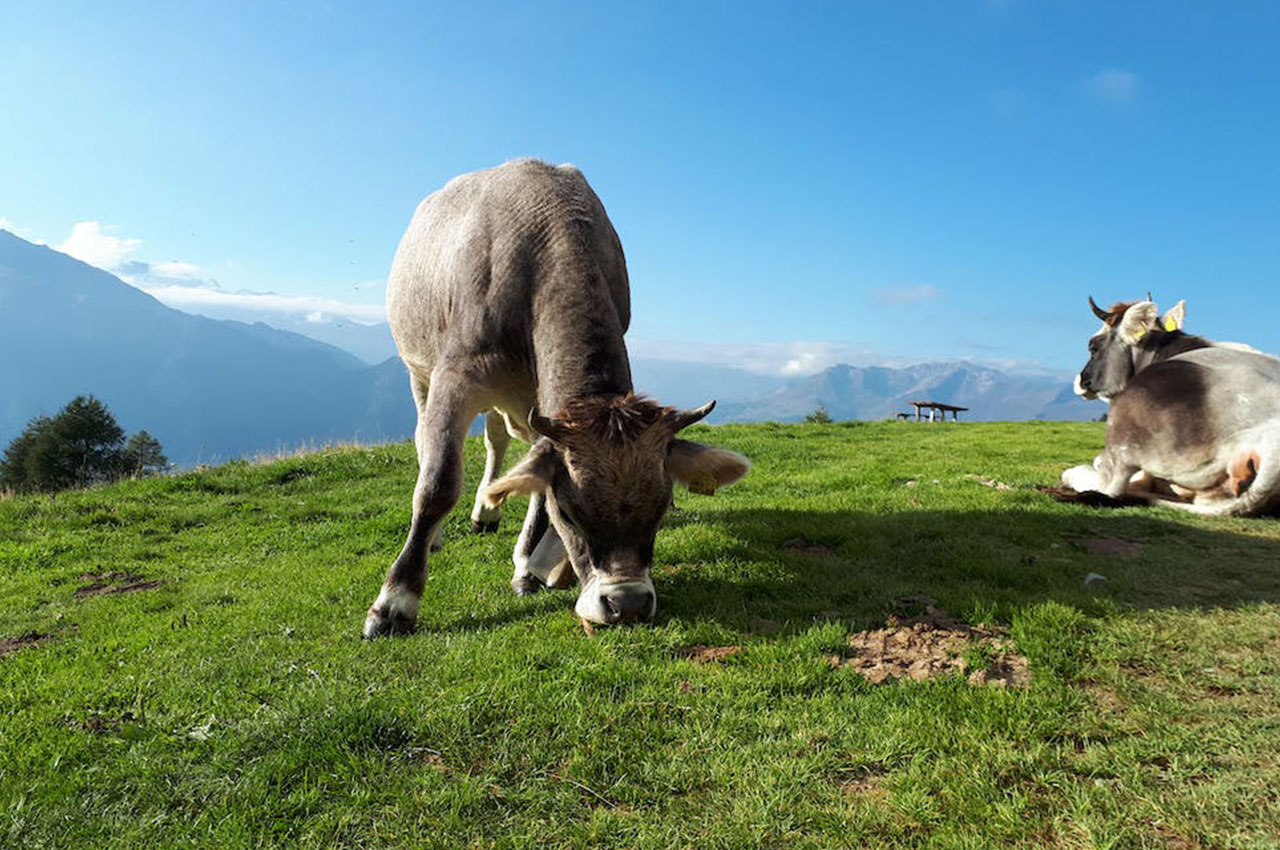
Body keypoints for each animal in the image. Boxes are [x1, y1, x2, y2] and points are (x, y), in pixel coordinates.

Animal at [363, 159, 747, 637]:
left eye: (661, 508)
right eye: (571, 513)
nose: (627, 604)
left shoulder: (543, 406)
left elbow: (534, 478)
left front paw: (528, 565)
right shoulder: (456, 375)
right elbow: (438, 484)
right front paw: (394, 603)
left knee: (496, 441)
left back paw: (488, 512)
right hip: (419, 370)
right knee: (425, 441)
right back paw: (436, 538)